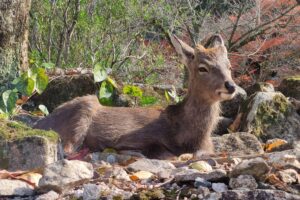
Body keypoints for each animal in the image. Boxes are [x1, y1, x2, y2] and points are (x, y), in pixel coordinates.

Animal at [33, 34, 237, 159]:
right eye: (203, 68)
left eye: (229, 66)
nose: (231, 85)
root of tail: (38, 124)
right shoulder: (140, 137)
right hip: (81, 113)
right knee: (68, 150)